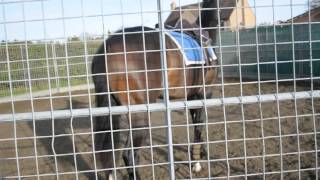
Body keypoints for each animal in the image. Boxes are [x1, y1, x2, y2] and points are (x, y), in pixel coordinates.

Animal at [91, 0, 219, 179]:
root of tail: (107, 49)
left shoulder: (192, 95)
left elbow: (196, 124)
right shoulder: (204, 92)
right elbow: (199, 126)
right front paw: (197, 163)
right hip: (140, 114)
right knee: (129, 155)